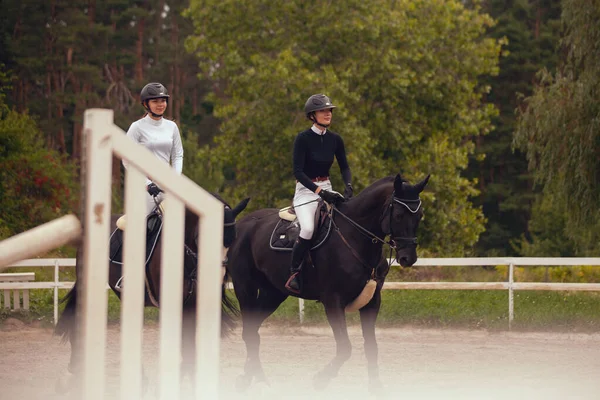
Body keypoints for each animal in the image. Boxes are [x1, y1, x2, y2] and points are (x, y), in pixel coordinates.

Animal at [227, 171, 428, 394]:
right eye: (399, 215)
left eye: (419, 216)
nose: (408, 258)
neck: (355, 237)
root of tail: (243, 224)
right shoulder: (333, 301)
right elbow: (345, 348)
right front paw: (321, 379)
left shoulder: (372, 302)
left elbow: (371, 346)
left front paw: (376, 387)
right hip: (245, 288)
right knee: (248, 331)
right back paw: (251, 380)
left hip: (273, 294)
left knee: (253, 330)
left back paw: (251, 378)